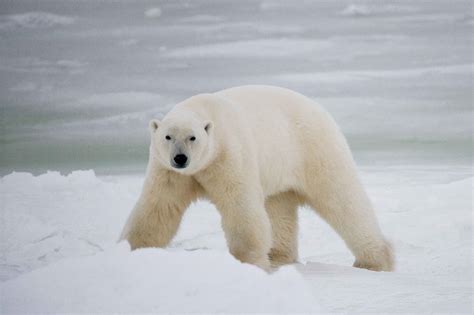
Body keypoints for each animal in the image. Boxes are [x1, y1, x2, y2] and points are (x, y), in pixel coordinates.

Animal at [120, 86, 394, 272]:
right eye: (168, 136)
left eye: (192, 137)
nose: (180, 158)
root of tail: (320, 109)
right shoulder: (168, 172)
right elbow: (158, 208)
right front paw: (129, 250)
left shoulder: (229, 155)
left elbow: (240, 207)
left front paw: (248, 262)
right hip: (280, 168)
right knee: (278, 208)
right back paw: (278, 255)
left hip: (313, 149)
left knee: (342, 200)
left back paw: (375, 261)